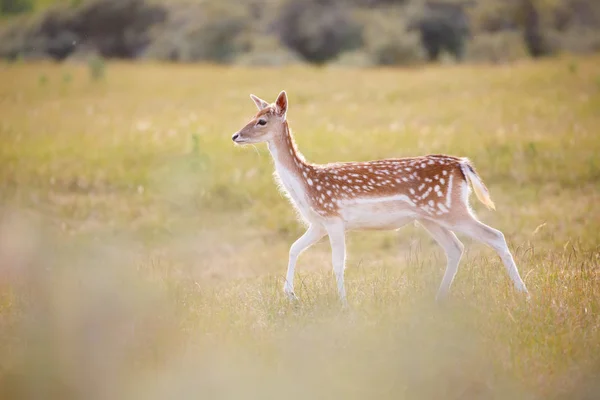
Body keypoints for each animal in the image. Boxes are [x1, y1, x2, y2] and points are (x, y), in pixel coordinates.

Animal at [231, 90, 528, 304]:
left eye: (261, 120)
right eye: (252, 114)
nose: (235, 136)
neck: (306, 185)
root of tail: (462, 165)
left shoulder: (334, 218)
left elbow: (337, 264)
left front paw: (343, 304)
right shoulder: (318, 223)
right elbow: (293, 248)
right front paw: (291, 296)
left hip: (449, 207)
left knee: (494, 235)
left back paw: (524, 294)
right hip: (429, 216)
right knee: (455, 247)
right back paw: (438, 300)